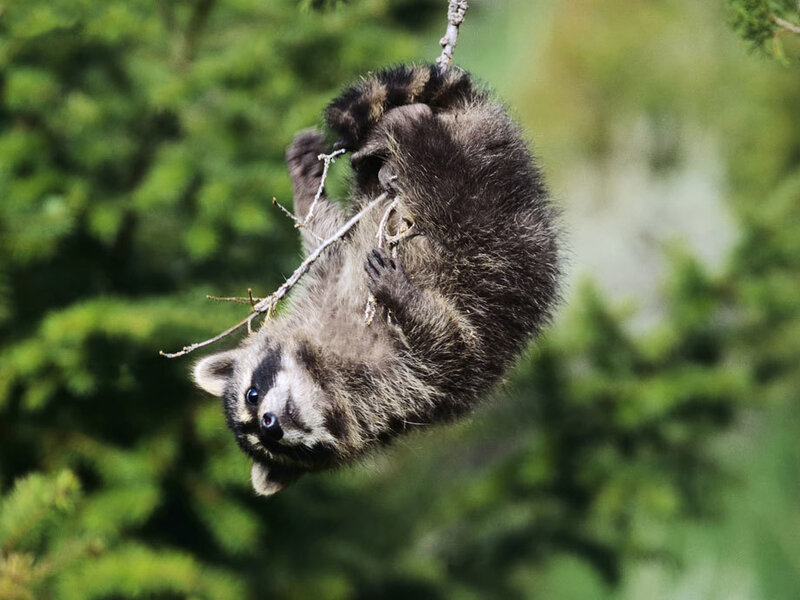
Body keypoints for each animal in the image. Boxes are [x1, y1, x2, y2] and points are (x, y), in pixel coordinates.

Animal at [193, 64, 560, 496]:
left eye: (252, 395)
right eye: (271, 445)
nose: (270, 425)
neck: (322, 374)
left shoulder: (330, 284)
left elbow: (327, 236)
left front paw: (304, 185)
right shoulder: (405, 394)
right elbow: (449, 348)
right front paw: (409, 301)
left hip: (487, 202)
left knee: (446, 187)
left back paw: (406, 127)